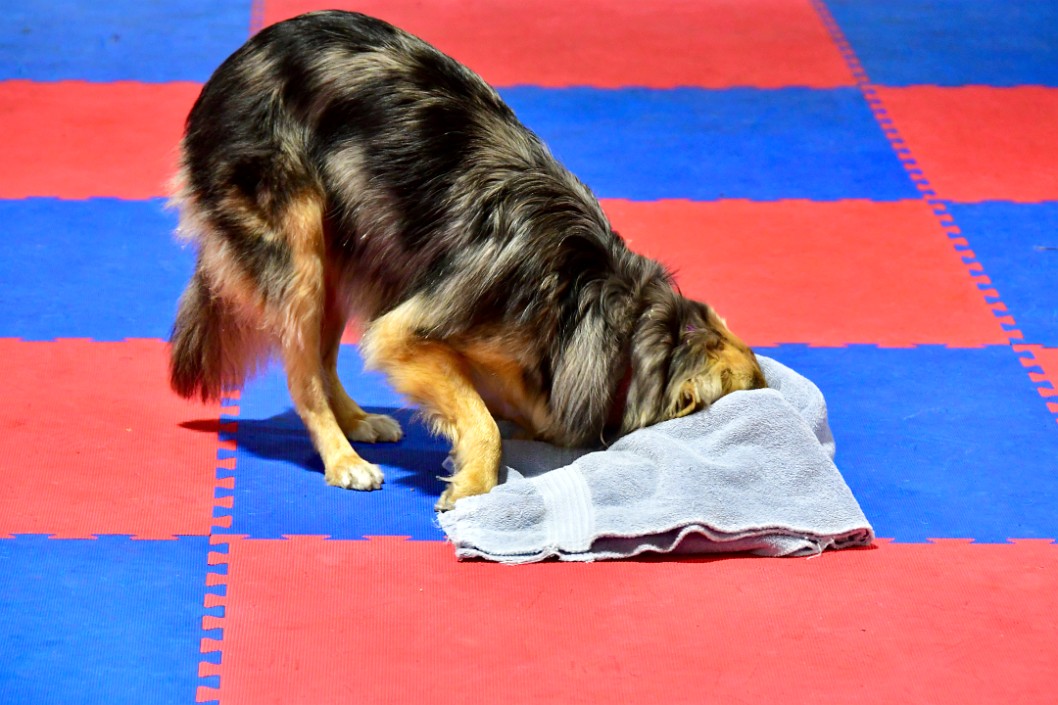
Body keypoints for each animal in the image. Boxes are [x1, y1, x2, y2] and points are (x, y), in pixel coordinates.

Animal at [169, 8, 765, 508]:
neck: (602, 310)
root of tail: (241, 55)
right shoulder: (406, 334)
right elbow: (483, 425)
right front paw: (473, 492)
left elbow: (500, 415)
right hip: (301, 252)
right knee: (302, 375)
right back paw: (343, 460)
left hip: (351, 250)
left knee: (323, 357)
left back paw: (359, 423)